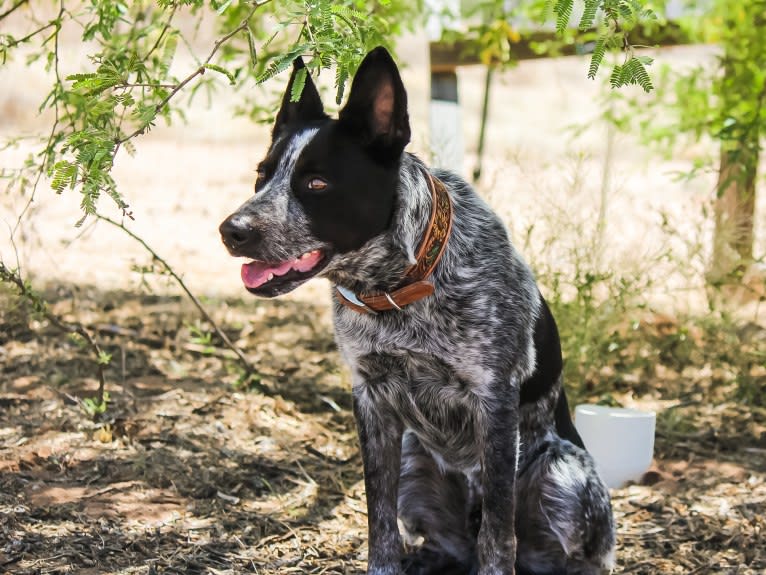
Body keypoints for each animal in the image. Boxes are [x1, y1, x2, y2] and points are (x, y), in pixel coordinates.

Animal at [222, 46, 616, 575]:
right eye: (262, 175)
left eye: (317, 183)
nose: (231, 230)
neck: (397, 287)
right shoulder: (370, 401)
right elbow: (379, 519)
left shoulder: (494, 402)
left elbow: (499, 533)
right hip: (415, 457)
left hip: (563, 475)